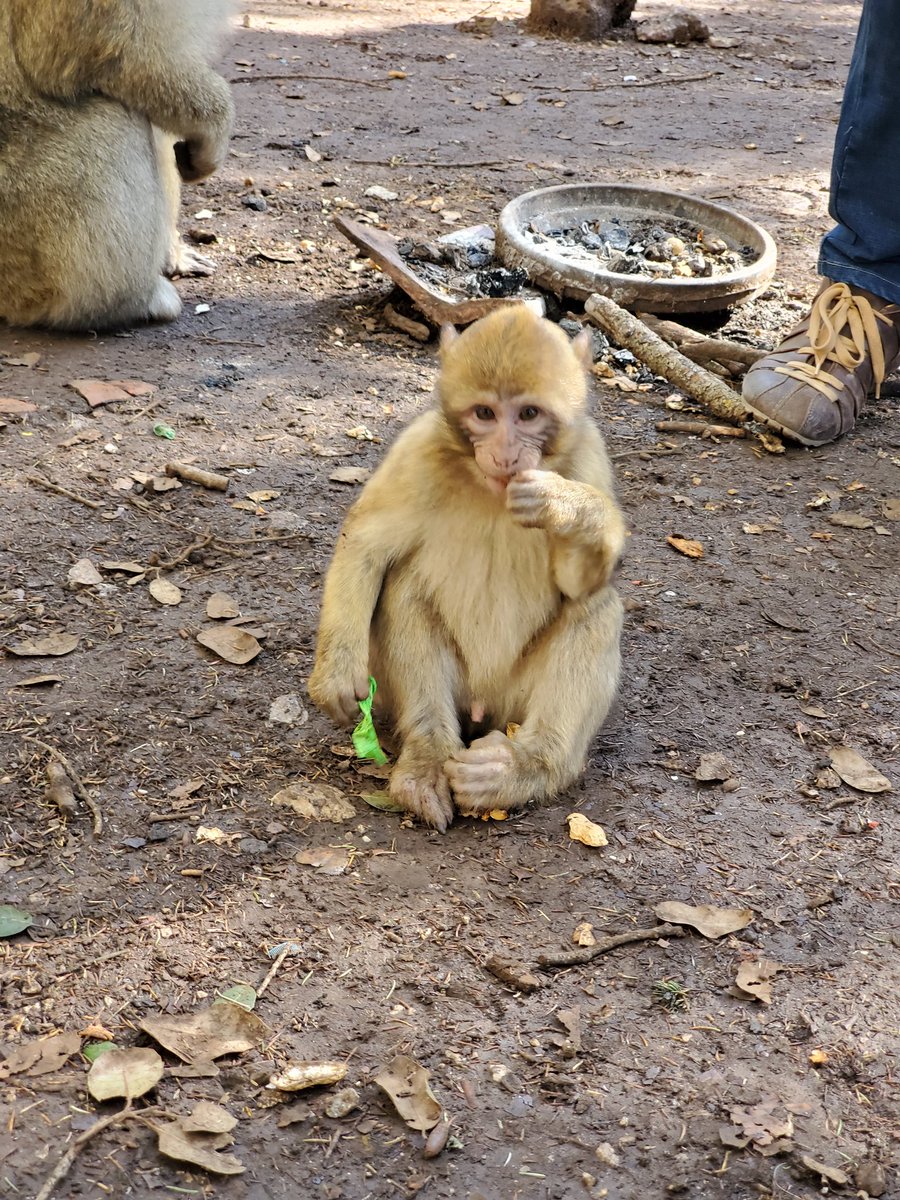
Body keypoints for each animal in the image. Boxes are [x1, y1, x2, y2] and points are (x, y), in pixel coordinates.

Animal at [308, 306, 626, 832]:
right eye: (484, 414)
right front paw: (336, 672)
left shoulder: (589, 456)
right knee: (402, 588)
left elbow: (580, 583)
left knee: (595, 606)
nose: (505, 454)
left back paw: (527, 768)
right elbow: (366, 546)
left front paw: (564, 504)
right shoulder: (417, 450)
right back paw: (428, 759)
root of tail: (484, 709)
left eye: (529, 414)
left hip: (514, 700)